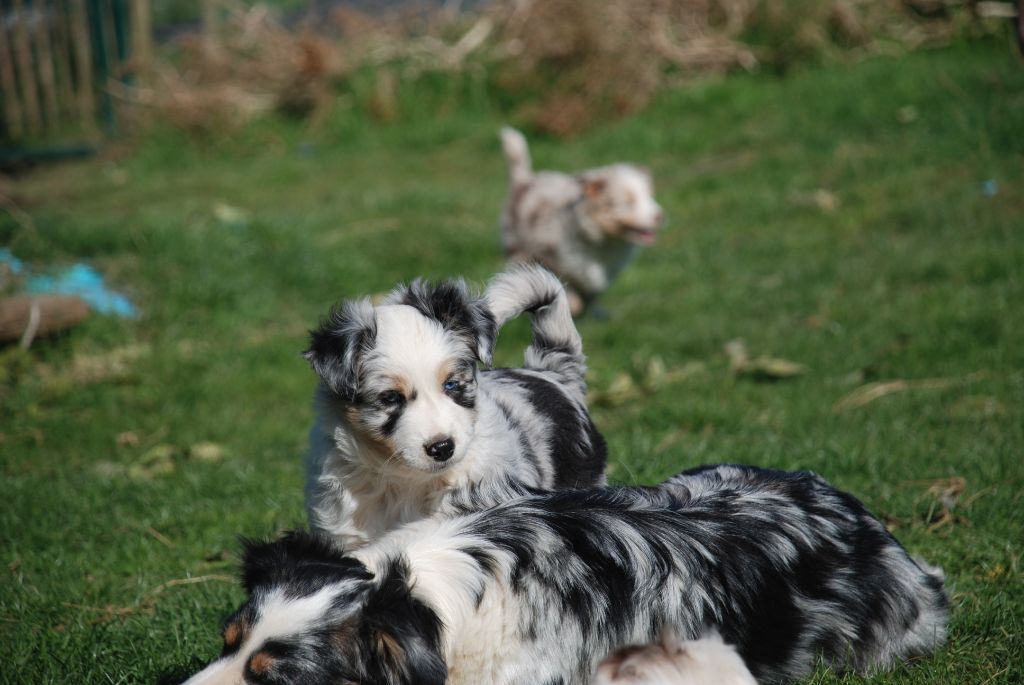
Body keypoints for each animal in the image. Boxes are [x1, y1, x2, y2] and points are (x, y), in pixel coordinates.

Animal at [499, 127, 664, 316]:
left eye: (649, 198)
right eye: (627, 203)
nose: (660, 216)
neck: (605, 241)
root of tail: (525, 180)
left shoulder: (607, 268)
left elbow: (591, 289)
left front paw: (593, 308)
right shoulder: (551, 255)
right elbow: (565, 282)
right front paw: (572, 304)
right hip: (516, 242)